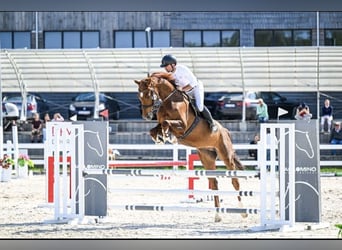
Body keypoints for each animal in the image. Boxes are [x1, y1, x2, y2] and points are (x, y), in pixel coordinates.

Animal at [135, 75, 247, 222]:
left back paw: (243, 212)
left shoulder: (182, 125)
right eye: (139, 95)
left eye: (149, 93)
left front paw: (168, 136)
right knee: (214, 183)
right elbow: (155, 129)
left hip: (226, 155)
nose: (146, 116)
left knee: (235, 181)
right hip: (207, 158)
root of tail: (225, 131)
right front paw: (161, 138)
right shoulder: (162, 123)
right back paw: (218, 215)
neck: (169, 100)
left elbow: (166, 123)